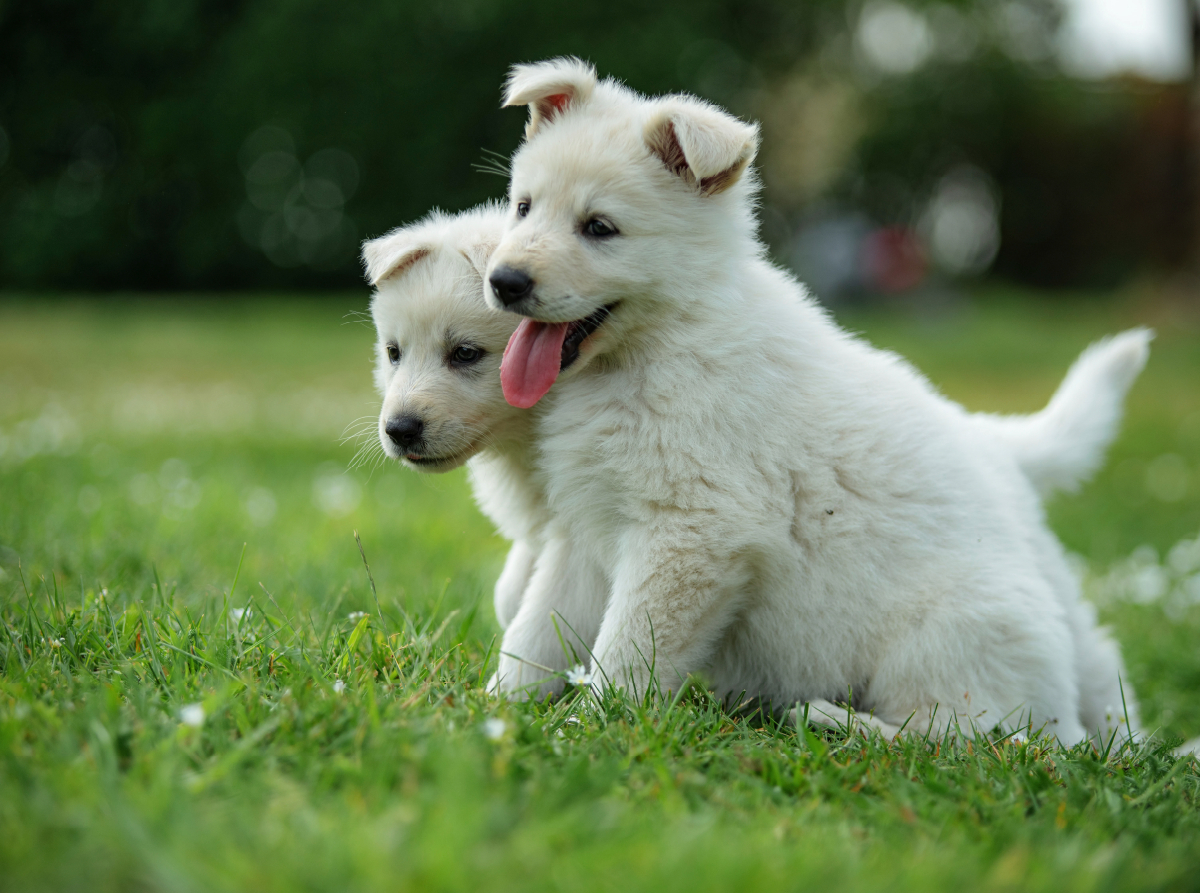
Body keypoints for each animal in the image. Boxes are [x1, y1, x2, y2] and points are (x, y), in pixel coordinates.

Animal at [484, 59, 1152, 744]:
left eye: (599, 228)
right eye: (523, 207)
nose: (503, 282)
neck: (663, 338)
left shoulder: (691, 533)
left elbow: (626, 650)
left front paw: (588, 731)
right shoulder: (585, 532)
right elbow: (536, 631)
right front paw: (497, 713)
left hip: (943, 633)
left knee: (970, 735)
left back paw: (834, 719)